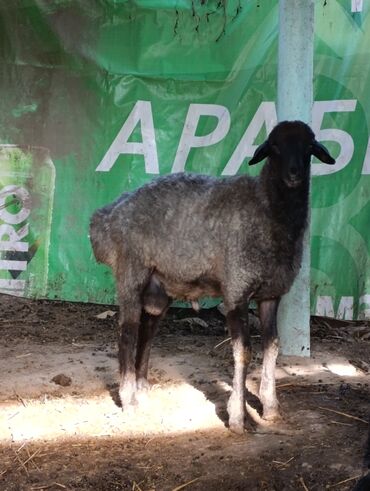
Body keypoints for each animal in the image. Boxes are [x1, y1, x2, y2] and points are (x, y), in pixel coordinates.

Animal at [89, 120, 336, 434]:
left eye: (309, 147)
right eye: (274, 146)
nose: (294, 174)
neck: (266, 208)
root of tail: (104, 217)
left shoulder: (270, 294)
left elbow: (272, 346)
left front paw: (269, 407)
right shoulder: (236, 290)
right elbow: (243, 352)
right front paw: (238, 416)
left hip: (158, 289)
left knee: (147, 331)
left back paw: (143, 392)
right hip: (131, 272)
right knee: (128, 333)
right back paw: (129, 401)